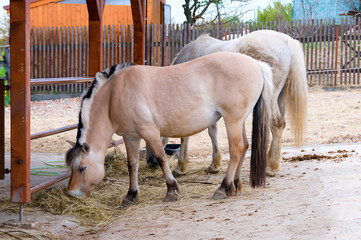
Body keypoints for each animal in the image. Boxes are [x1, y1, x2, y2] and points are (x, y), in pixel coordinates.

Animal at [66, 52, 272, 204]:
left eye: (82, 168)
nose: (71, 193)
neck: (114, 95)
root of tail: (256, 64)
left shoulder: (149, 132)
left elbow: (161, 158)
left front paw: (172, 190)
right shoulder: (131, 136)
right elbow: (132, 164)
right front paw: (131, 195)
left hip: (232, 121)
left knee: (236, 149)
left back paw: (223, 187)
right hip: (239, 121)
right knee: (244, 147)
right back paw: (235, 185)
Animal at [148, 29, 308, 176]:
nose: (150, 161)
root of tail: (287, 41)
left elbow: (185, 135)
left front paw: (180, 167)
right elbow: (212, 131)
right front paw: (214, 164)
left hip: (271, 97)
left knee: (277, 125)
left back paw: (271, 167)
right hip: (280, 98)